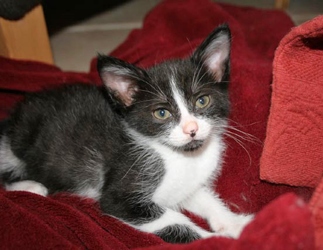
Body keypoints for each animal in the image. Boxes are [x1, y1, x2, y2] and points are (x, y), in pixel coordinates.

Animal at [0, 24, 253, 243]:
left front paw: (236, 224)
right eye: (161, 113)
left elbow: (204, 198)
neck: (179, 156)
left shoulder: (185, 187)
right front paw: (218, 240)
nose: (191, 129)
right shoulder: (120, 195)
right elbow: (174, 221)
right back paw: (30, 186)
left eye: (202, 101)